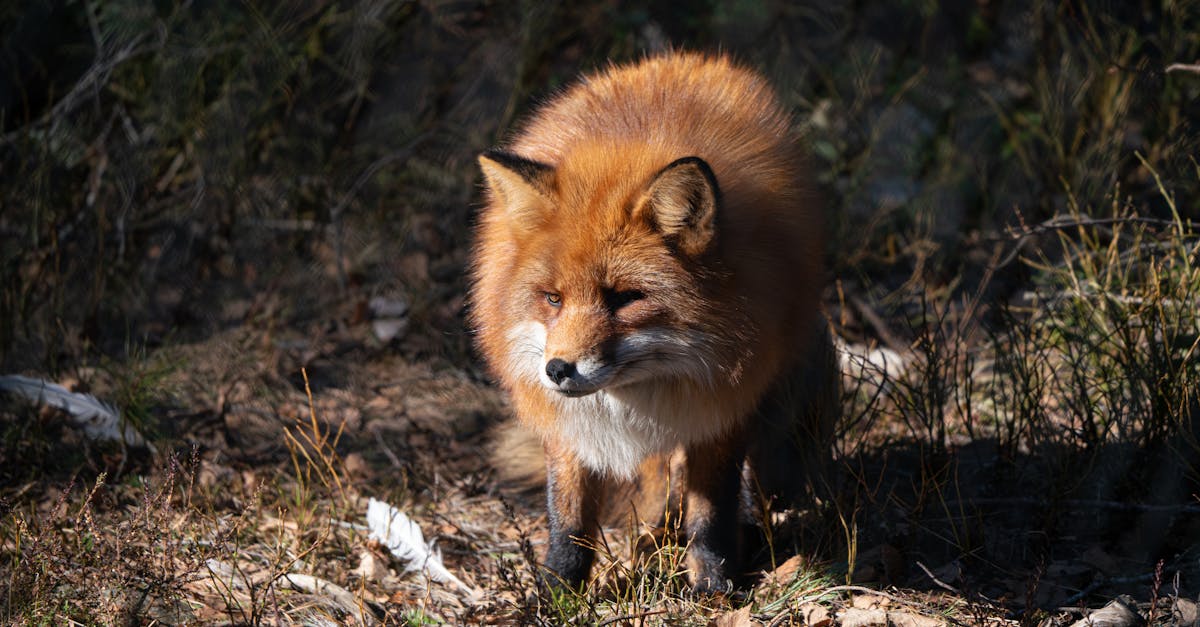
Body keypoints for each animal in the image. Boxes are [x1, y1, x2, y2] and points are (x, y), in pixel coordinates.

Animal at [470, 52, 837, 593]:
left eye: (624, 299)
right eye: (552, 299)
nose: (557, 370)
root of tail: (688, 58)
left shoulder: (722, 404)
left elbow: (710, 512)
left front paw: (713, 587)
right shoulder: (568, 424)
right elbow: (569, 517)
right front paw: (557, 593)